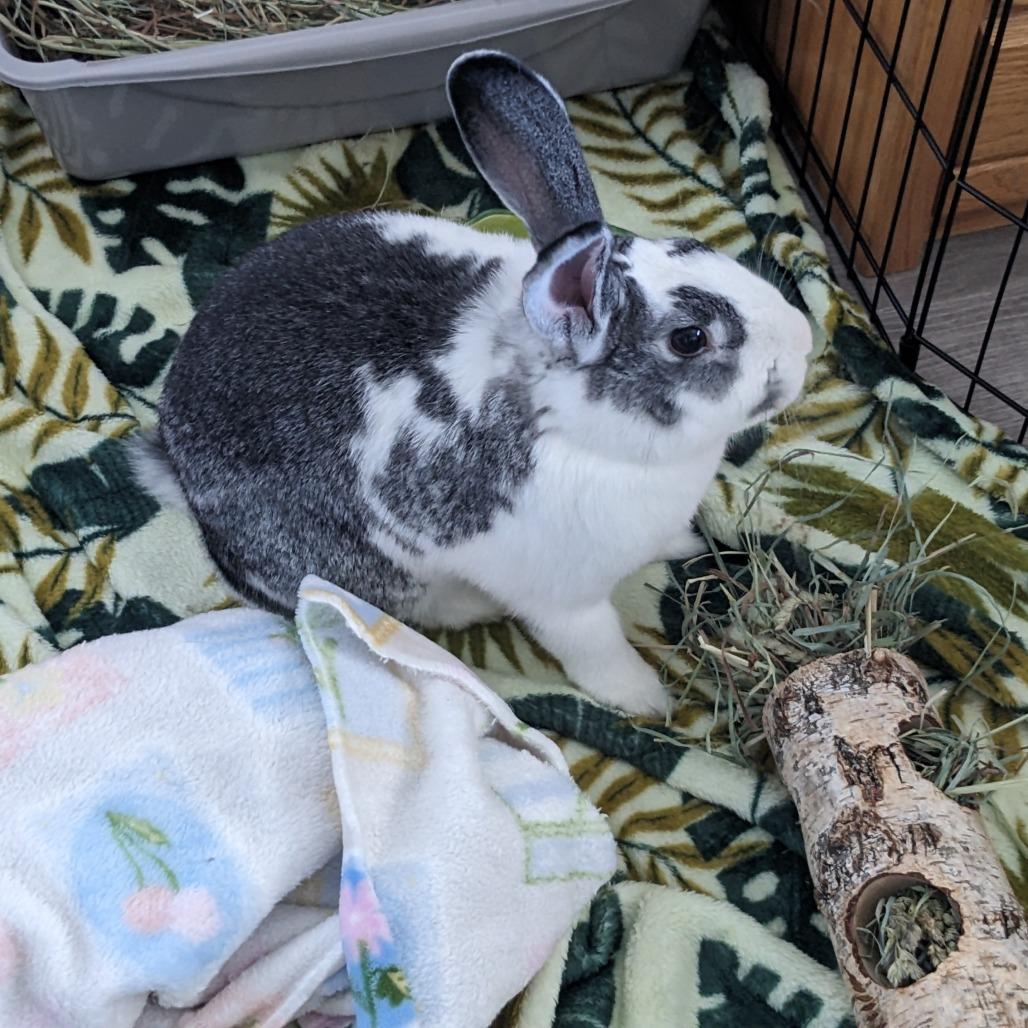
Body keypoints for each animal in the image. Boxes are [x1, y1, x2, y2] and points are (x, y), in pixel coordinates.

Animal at [134, 50, 812, 716]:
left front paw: (685, 543)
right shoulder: (563, 599)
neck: (560, 416)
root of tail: (180, 477)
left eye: (693, 246)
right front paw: (649, 701)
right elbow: (597, 652)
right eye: (690, 339)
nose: (805, 341)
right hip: (371, 573)